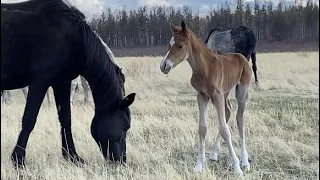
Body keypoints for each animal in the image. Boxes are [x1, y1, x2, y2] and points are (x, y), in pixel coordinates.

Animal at [0, 0, 135, 167]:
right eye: (126, 126)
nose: (121, 161)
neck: (71, 38)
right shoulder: (40, 81)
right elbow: (29, 119)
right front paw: (18, 159)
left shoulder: (62, 82)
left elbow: (66, 119)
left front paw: (72, 156)